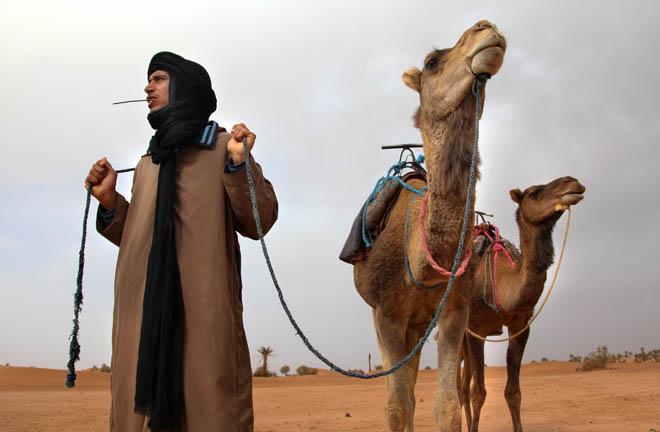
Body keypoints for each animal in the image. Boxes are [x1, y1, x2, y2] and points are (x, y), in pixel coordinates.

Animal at [354, 20, 506, 431]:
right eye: (432, 62)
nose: (486, 27)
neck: (421, 263)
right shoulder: (386, 312)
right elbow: (396, 406)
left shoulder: (454, 311)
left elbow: (446, 407)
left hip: (419, 324)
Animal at [460, 176, 586, 432]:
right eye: (535, 193)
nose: (572, 181)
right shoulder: (476, 327)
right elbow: (479, 393)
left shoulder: (520, 325)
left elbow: (513, 392)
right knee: (460, 387)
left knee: (464, 385)